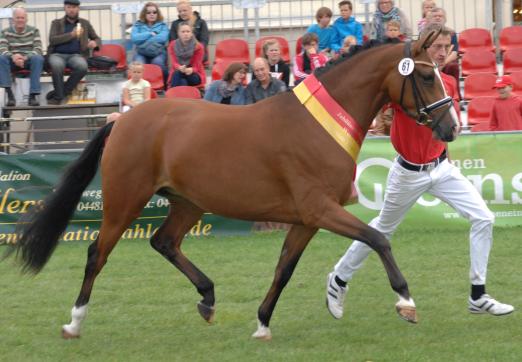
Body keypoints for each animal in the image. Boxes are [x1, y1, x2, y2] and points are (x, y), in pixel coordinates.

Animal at [8, 30, 456, 340]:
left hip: (187, 202)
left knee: (164, 242)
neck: (318, 127)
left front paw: (262, 325)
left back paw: (207, 298)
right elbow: (378, 239)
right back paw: (74, 322)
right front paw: (406, 302)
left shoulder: (307, 219)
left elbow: (284, 269)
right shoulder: (321, 209)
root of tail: (122, 120)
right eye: (426, 76)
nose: (450, 128)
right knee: (96, 254)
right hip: (125, 200)